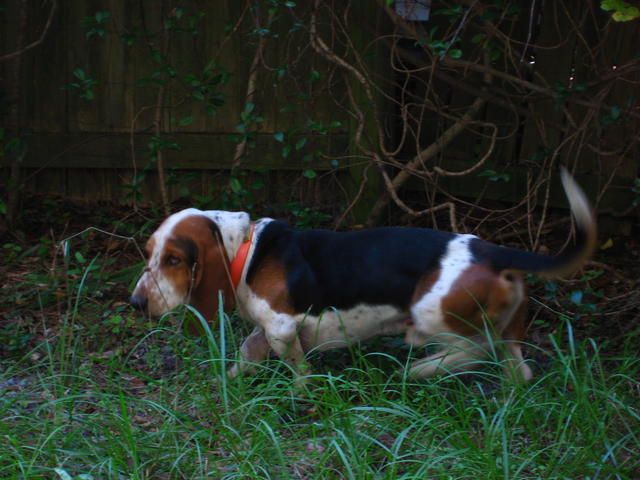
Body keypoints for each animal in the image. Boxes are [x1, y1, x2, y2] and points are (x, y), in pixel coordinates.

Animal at [130, 169, 596, 382]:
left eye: (174, 259)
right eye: (149, 254)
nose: (135, 303)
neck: (247, 249)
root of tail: (492, 249)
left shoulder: (282, 327)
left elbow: (298, 369)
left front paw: (301, 395)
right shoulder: (267, 330)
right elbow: (247, 351)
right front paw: (227, 385)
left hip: (432, 316)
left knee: (475, 349)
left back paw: (421, 370)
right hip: (510, 327)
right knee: (517, 368)